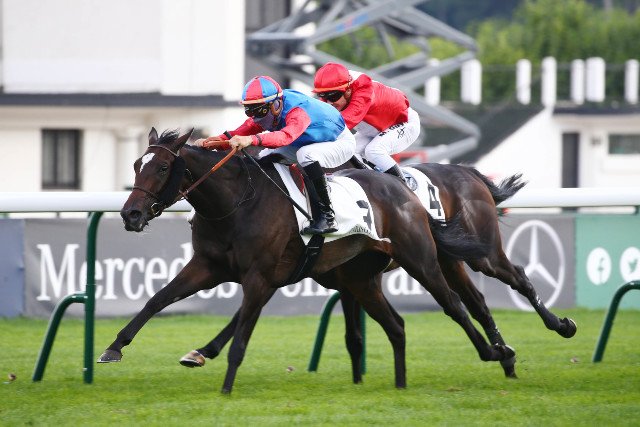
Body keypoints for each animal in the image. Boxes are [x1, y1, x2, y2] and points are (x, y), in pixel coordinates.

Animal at [97, 128, 516, 393]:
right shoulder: (209, 267)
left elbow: (242, 328)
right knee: (407, 322)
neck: (237, 203)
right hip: (366, 278)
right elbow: (158, 300)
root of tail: (403, 189)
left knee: (460, 305)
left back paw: (498, 353)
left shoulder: (262, 275)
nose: (131, 214)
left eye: (162, 167)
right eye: (136, 165)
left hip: (429, 259)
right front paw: (115, 347)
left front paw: (221, 377)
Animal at [178, 160, 577, 380]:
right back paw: (506, 356)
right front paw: (201, 351)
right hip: (447, 259)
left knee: (515, 278)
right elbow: (351, 335)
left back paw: (560, 325)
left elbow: (246, 311)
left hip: (480, 252)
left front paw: (204, 350)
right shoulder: (331, 275)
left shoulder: (292, 270)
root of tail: (467, 172)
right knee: (476, 301)